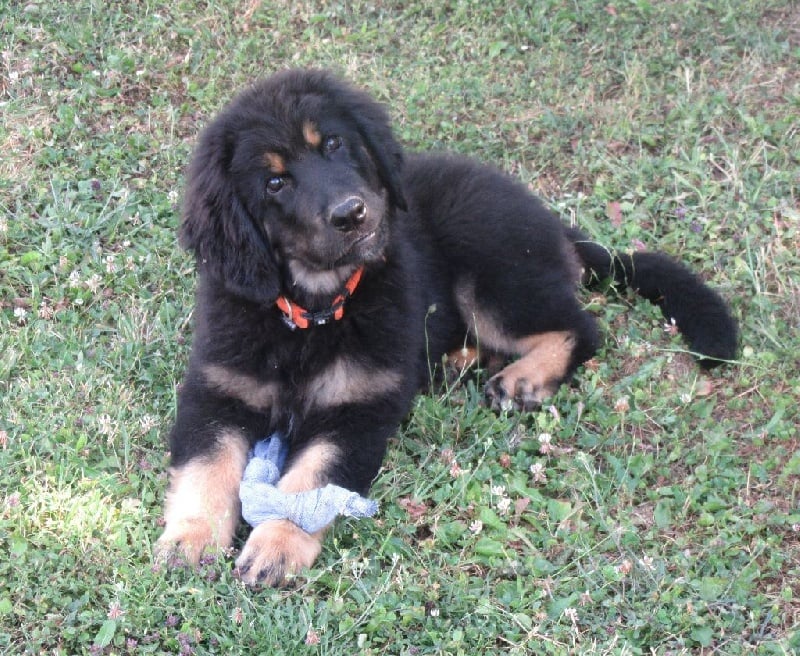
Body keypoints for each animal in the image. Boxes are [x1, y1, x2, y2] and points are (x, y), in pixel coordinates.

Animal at [155, 69, 737, 586]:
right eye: (274, 182)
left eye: (335, 145)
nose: (352, 214)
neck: (315, 311)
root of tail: (555, 226)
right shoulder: (217, 391)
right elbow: (206, 469)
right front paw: (190, 538)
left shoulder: (357, 410)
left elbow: (308, 484)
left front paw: (275, 544)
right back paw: (461, 362)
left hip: (491, 276)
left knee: (581, 328)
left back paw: (524, 378)